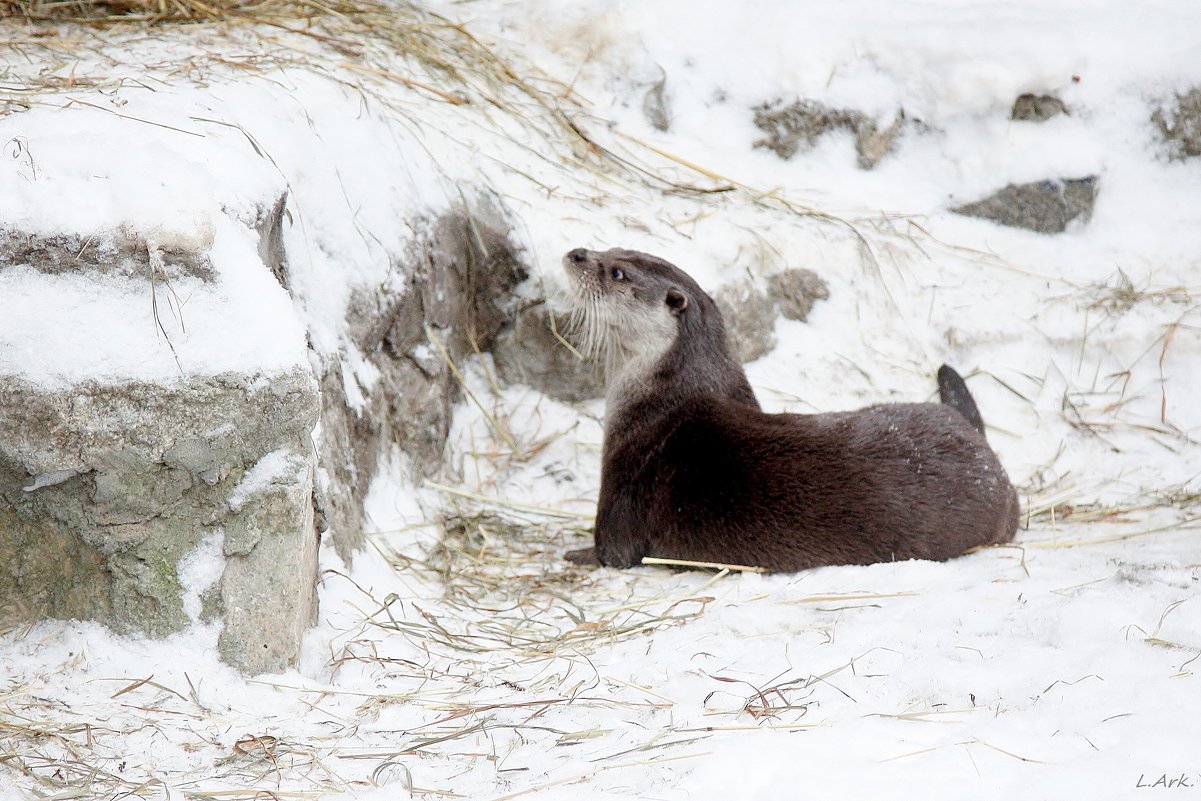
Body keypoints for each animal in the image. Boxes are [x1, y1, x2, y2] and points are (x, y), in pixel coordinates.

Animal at [562, 248, 1023, 569]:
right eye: (614, 247)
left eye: (617, 272)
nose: (578, 253)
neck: (663, 398)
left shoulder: (627, 480)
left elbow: (613, 552)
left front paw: (574, 554)